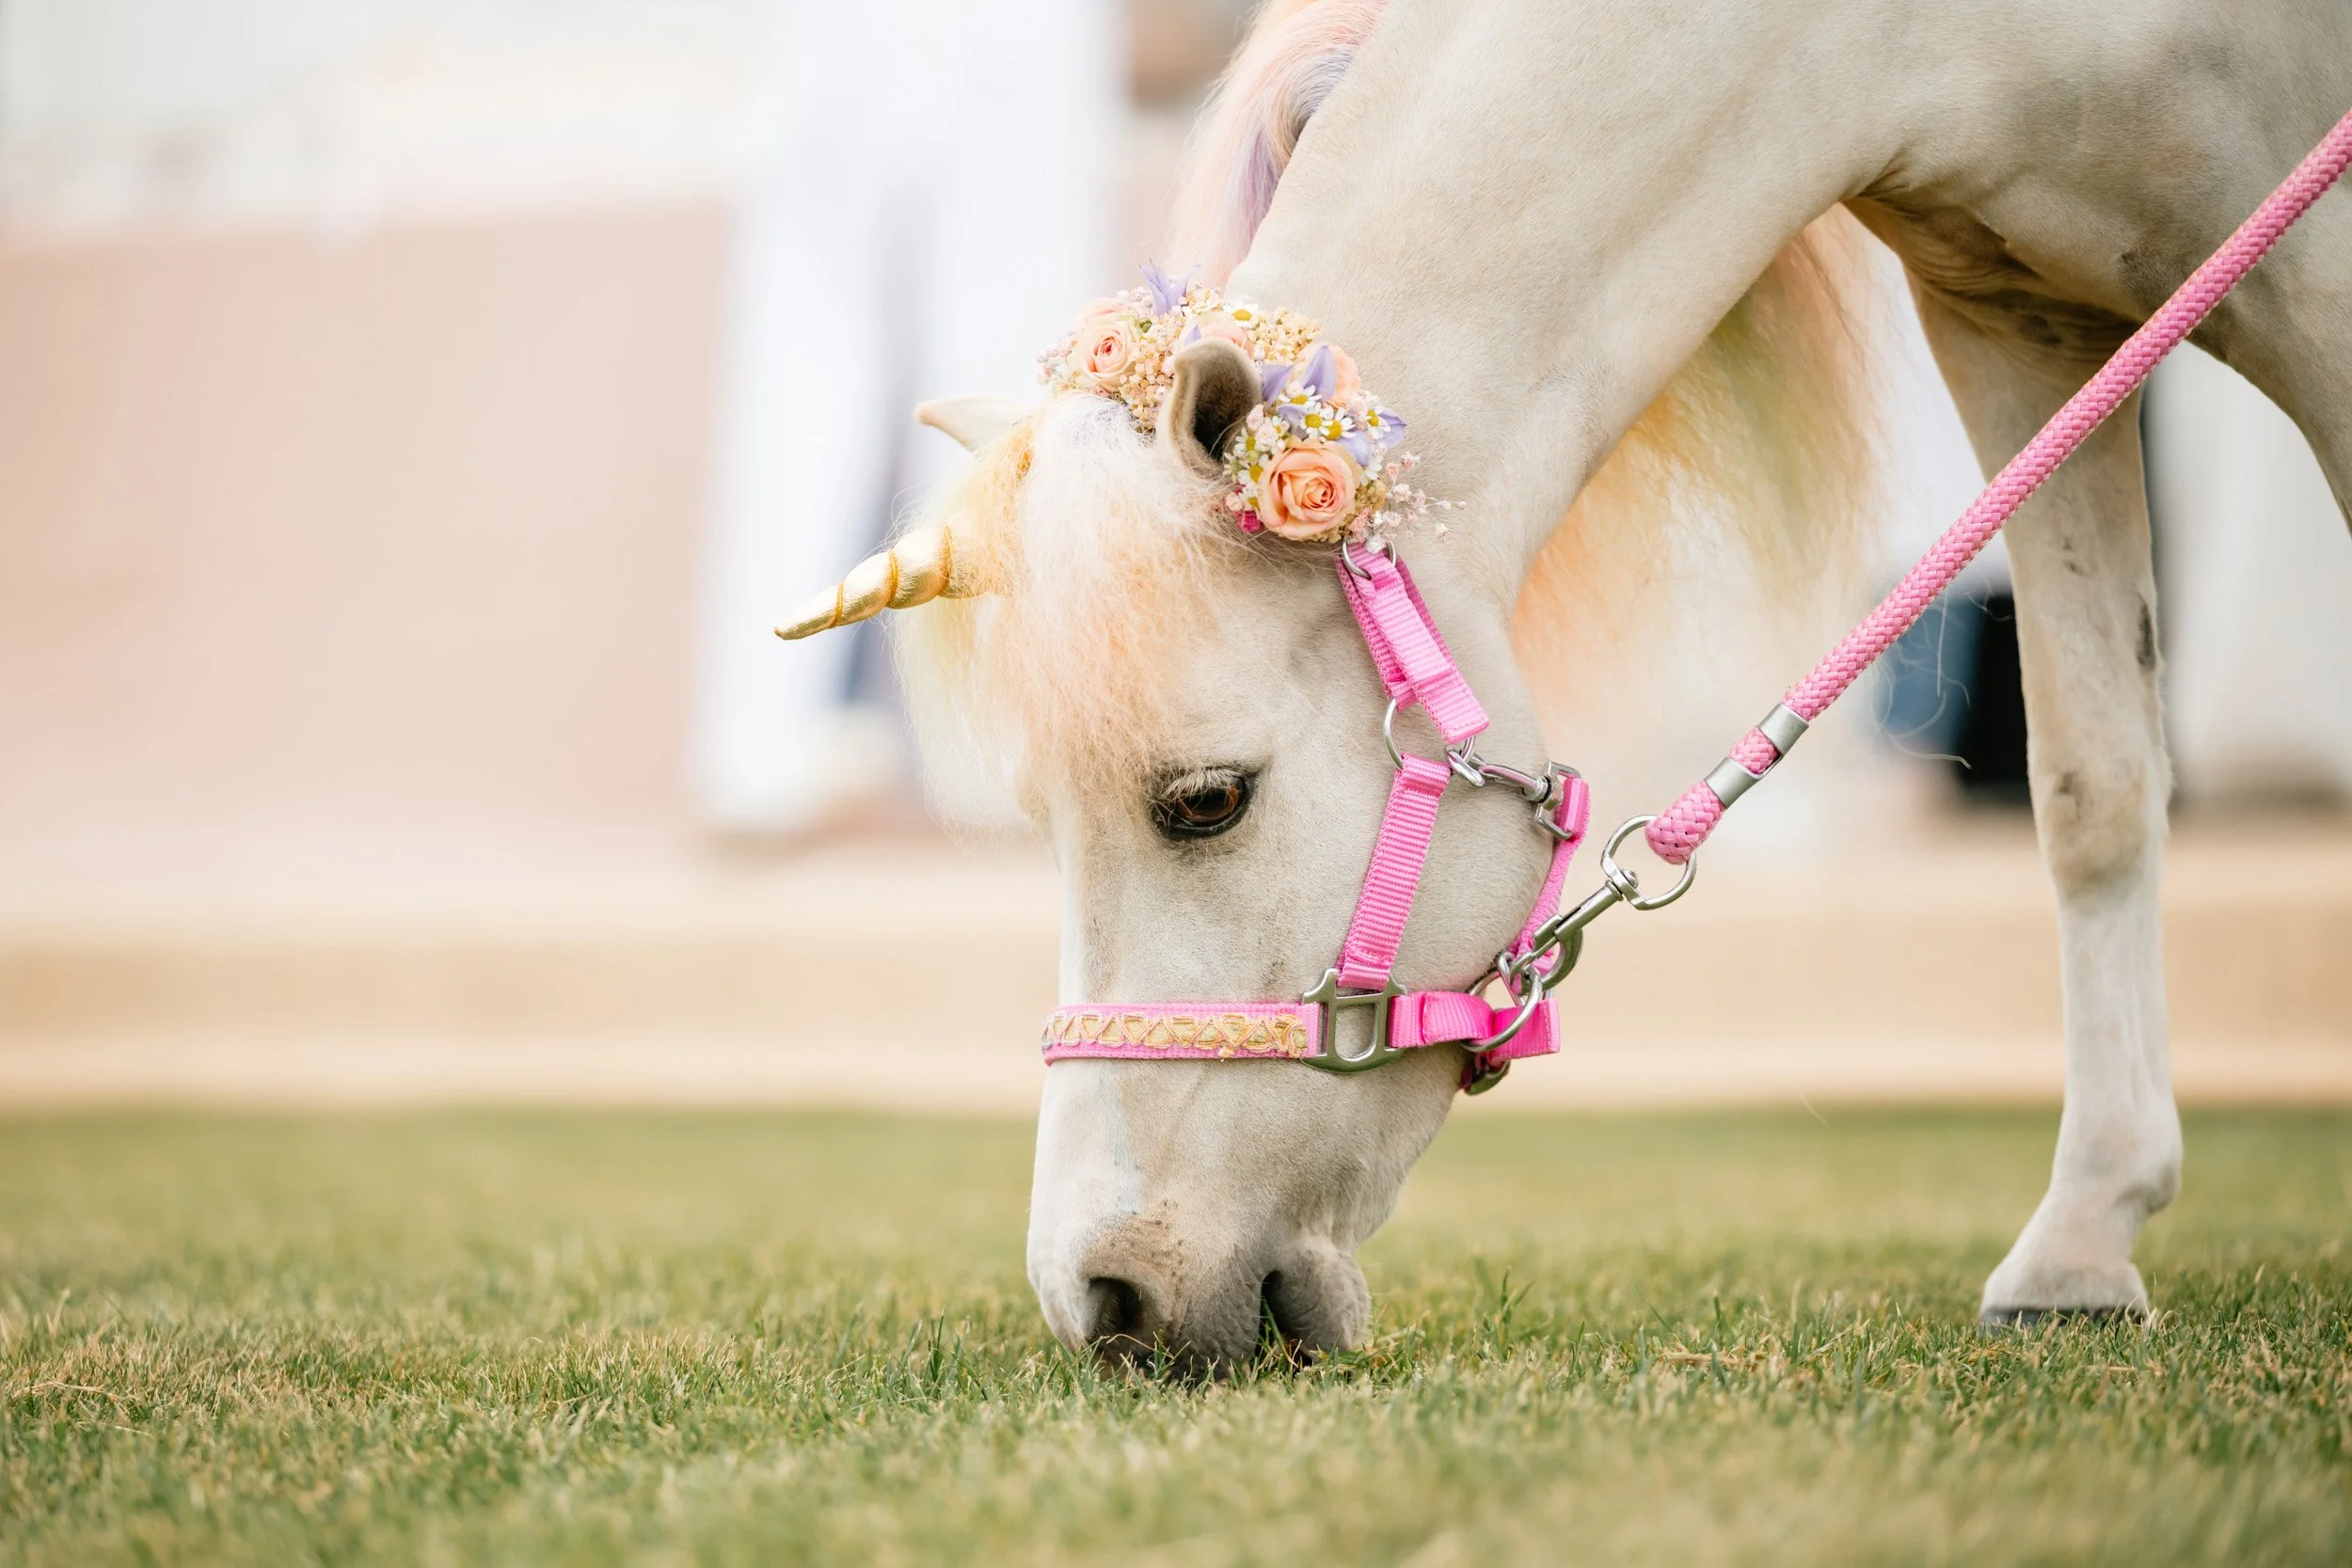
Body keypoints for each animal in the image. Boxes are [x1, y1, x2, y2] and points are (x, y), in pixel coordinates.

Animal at [785, 0, 2352, 1372]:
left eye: (1206, 799)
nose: (1101, 1298)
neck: (1883, 40)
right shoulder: (2015, 320)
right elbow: (2093, 781)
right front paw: (2083, 1243)